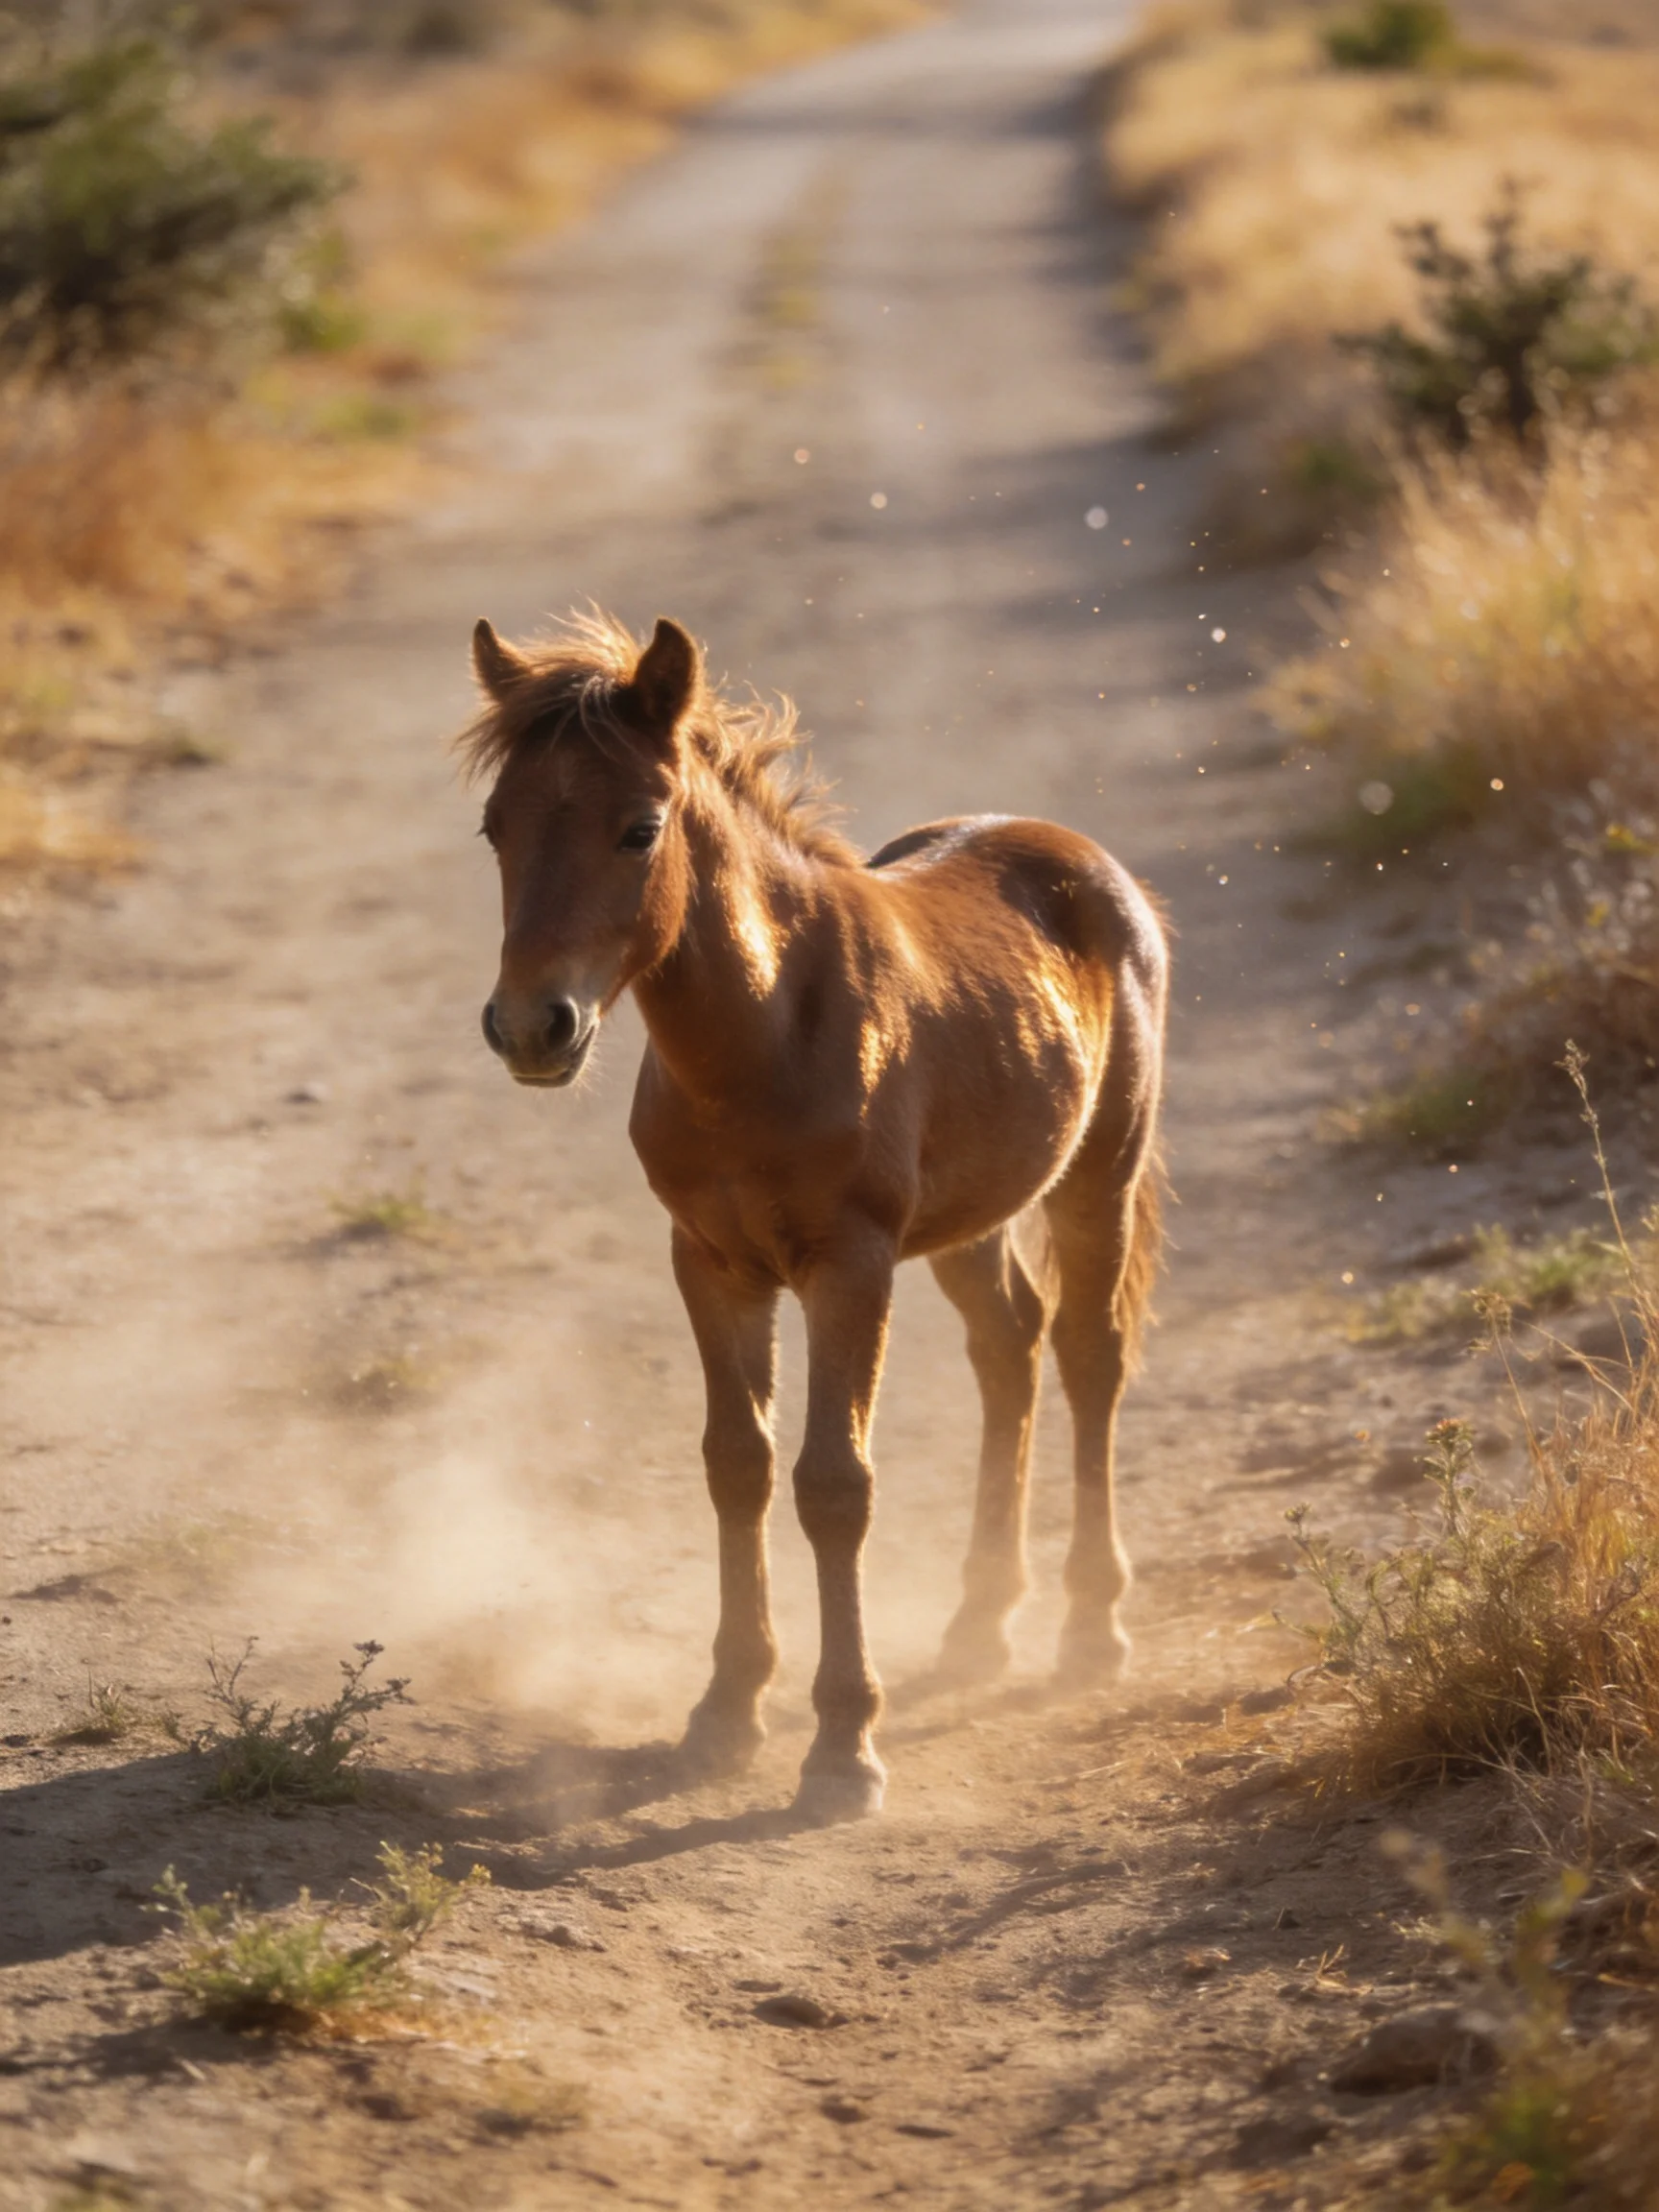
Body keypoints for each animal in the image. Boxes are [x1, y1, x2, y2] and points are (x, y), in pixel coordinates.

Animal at [460, 609, 1168, 1823]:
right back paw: (981, 1625)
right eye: (495, 826)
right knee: (1010, 1348)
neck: (764, 1034)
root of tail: (1077, 853)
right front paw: (726, 1711)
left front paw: (843, 1746)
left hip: (1097, 1175)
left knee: (1088, 1355)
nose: (530, 1026)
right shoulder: (710, 1263)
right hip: (973, 1219)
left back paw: (1090, 1630)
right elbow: (735, 1463)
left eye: (639, 829)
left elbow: (834, 1486)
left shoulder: (851, 1264)